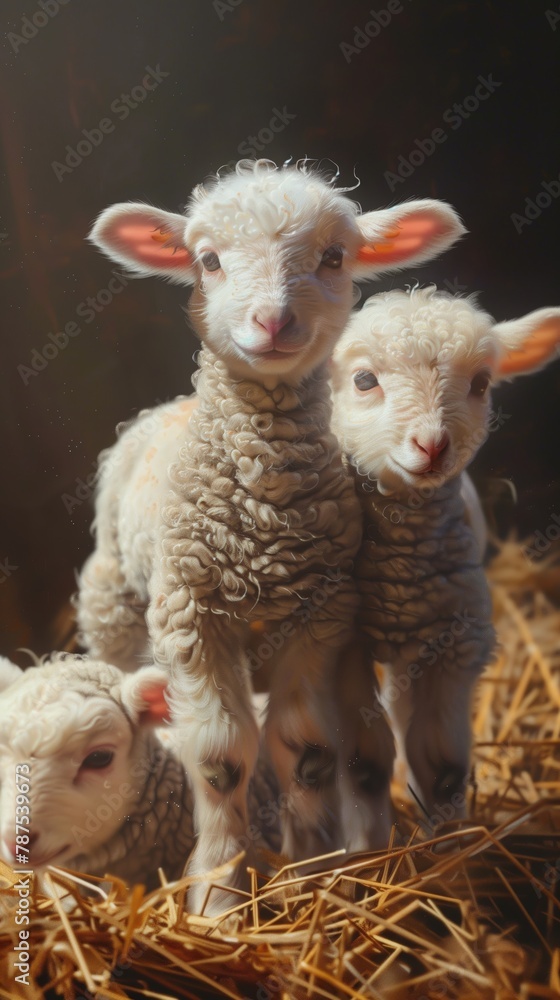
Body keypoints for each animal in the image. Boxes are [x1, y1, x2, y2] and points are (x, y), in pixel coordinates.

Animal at [75, 159, 466, 912]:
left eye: (335, 257)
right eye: (208, 260)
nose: (273, 320)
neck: (263, 518)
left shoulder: (320, 617)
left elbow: (302, 749)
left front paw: (311, 870)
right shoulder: (190, 615)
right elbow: (221, 758)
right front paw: (218, 894)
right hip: (114, 599)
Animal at [331, 286, 560, 819]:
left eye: (480, 383)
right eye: (364, 380)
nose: (432, 445)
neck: (400, 566)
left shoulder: (457, 641)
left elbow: (439, 757)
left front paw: (448, 831)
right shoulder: (342, 644)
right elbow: (362, 759)